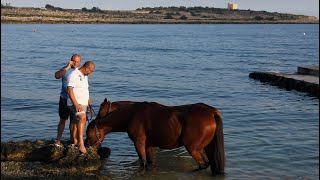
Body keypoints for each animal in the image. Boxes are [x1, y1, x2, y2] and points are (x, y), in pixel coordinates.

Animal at [85, 99, 225, 175]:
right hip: (208, 148)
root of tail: (212, 112)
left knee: (203, 165)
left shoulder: (139, 144)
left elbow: (143, 163)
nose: (85, 145)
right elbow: (150, 163)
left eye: (88, 134)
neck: (132, 114)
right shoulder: (148, 146)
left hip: (193, 149)